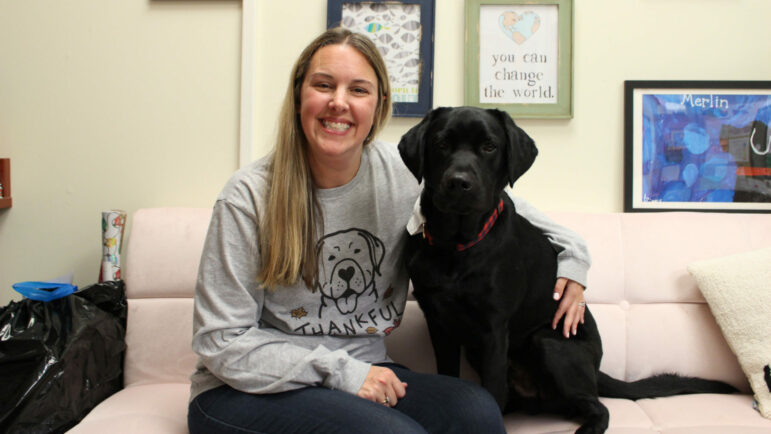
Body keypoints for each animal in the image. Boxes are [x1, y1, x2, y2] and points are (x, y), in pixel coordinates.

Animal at [398, 106, 736, 434]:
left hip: (549, 343)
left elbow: (492, 392)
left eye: (489, 146)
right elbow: (451, 377)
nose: (458, 182)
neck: (455, 245)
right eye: (441, 143)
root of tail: (597, 370)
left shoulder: (493, 329)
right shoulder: (439, 324)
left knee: (598, 407)